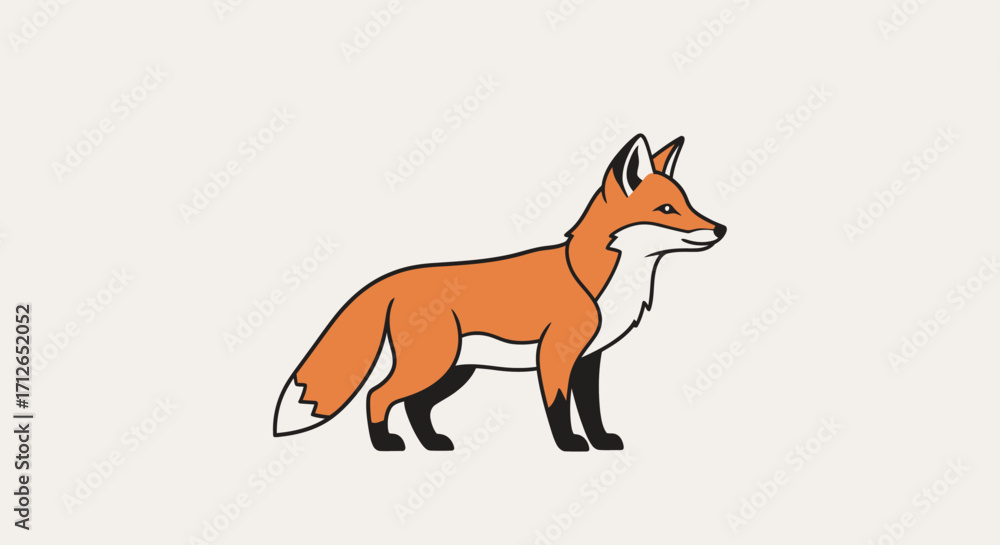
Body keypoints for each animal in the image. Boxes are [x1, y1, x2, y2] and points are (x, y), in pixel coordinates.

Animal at [273, 133, 726, 451]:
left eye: (687, 204)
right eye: (666, 210)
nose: (720, 228)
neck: (597, 280)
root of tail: (391, 278)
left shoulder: (588, 359)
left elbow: (592, 410)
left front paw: (601, 442)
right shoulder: (556, 356)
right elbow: (559, 408)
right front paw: (570, 446)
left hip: (454, 370)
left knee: (416, 406)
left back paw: (433, 444)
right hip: (433, 365)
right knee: (377, 396)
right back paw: (385, 445)